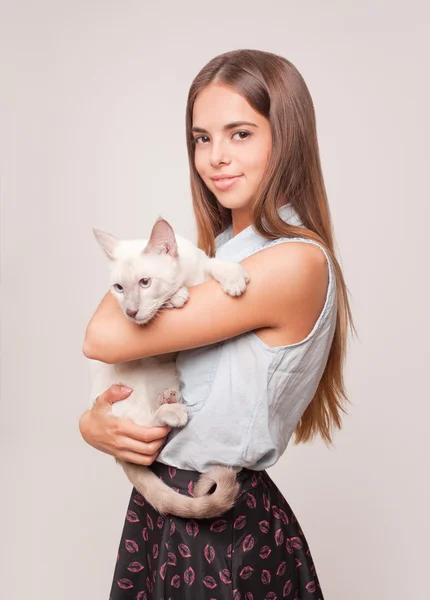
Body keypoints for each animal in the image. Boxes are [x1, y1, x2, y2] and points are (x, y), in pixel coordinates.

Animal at [88, 218, 249, 516]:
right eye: (118, 288)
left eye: (145, 282)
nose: (130, 312)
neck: (190, 280)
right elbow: (173, 296)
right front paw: (177, 297)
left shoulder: (202, 265)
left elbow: (213, 264)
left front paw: (232, 278)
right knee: (144, 424)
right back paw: (173, 412)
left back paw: (169, 398)